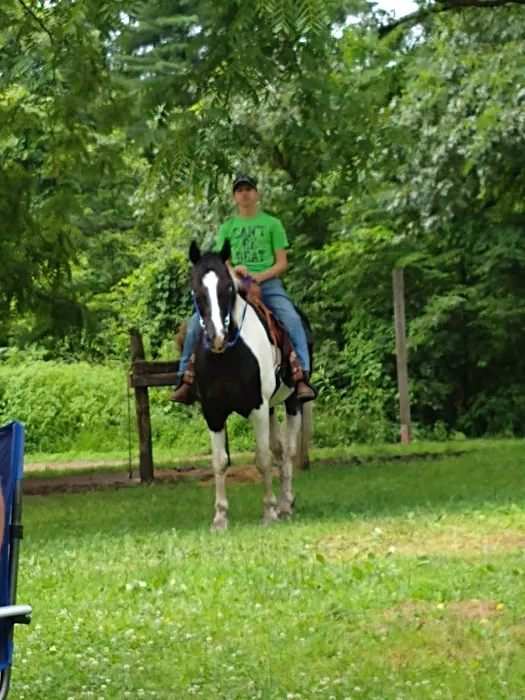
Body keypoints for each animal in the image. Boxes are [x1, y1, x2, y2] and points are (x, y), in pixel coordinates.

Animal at [188, 239, 312, 530]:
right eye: (197, 289)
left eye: (228, 287)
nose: (217, 336)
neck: (227, 356)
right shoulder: (213, 412)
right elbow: (219, 462)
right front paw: (220, 517)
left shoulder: (257, 407)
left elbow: (263, 459)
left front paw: (269, 512)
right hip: (272, 407)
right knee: (280, 449)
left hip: (292, 402)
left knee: (288, 452)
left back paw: (285, 504)